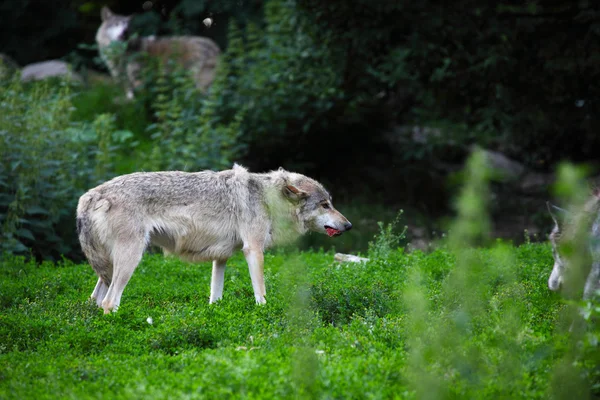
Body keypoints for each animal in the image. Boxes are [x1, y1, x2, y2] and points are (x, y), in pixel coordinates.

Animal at [77, 164, 354, 314]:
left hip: (108, 269)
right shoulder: (253, 250)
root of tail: (90, 196)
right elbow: (261, 293)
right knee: (109, 302)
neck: (268, 199)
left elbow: (215, 297)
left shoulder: (221, 258)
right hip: (130, 261)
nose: (349, 225)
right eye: (325, 205)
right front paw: (266, 313)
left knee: (94, 300)